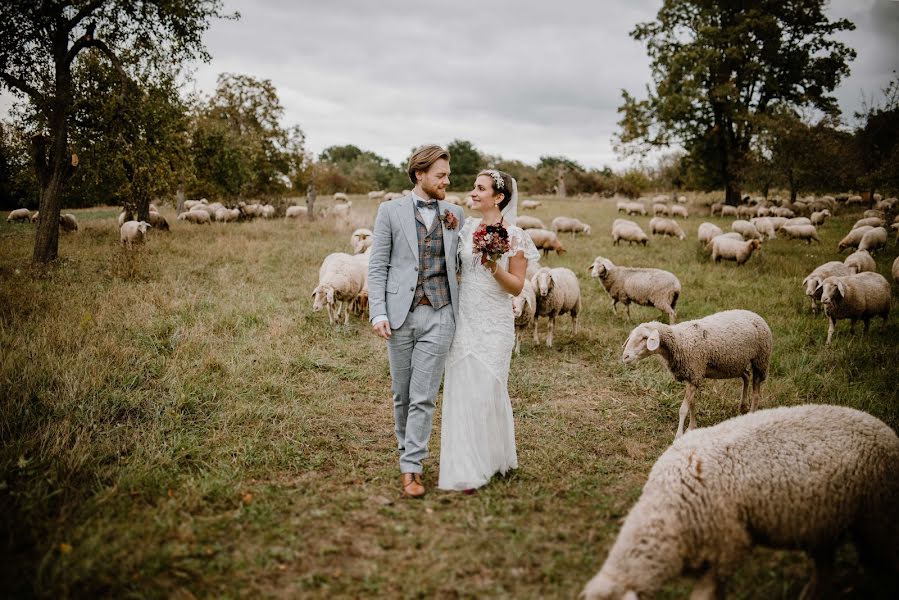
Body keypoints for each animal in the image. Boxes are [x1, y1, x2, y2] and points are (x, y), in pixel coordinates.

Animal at [620, 312, 772, 438]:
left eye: (645, 337)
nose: (625, 357)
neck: (679, 340)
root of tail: (755, 314)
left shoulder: (694, 374)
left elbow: (683, 409)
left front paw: (679, 435)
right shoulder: (691, 376)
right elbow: (692, 404)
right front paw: (691, 428)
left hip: (760, 360)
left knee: (756, 393)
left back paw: (751, 413)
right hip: (736, 363)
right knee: (746, 376)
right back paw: (742, 406)